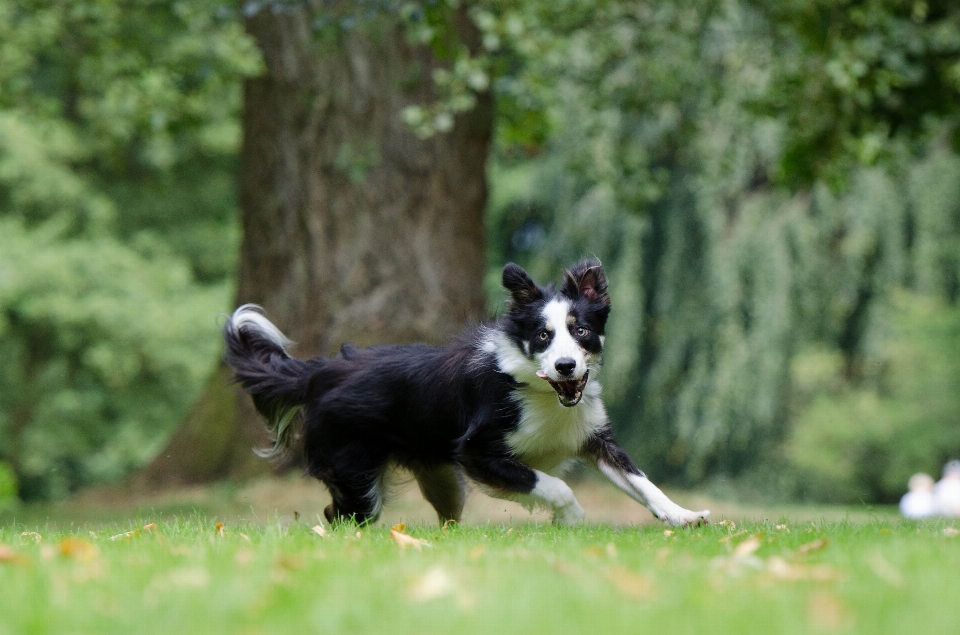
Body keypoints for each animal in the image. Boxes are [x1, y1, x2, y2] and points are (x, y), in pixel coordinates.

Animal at [221, 258, 708, 528]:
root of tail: (321, 372)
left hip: (441, 479)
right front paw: (571, 518)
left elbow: (643, 482)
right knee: (338, 516)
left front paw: (684, 515)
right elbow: (552, 484)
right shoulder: (477, 452)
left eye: (581, 331)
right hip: (355, 473)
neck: (541, 391)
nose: (566, 366)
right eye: (543, 336)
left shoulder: (592, 436)